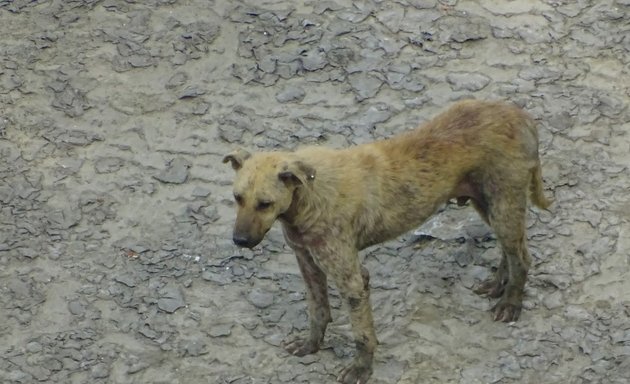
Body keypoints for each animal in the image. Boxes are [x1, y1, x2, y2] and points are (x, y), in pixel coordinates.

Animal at [223, 100, 552, 384]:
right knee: (510, 249)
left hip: (503, 203)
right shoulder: (309, 264)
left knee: (522, 256)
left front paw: (361, 369)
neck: (308, 193)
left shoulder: (352, 279)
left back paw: (510, 303)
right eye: (237, 198)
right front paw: (311, 345)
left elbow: (362, 334)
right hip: (487, 204)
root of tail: (521, 115)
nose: (239, 241)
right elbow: (318, 311)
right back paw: (497, 285)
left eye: (265, 204)